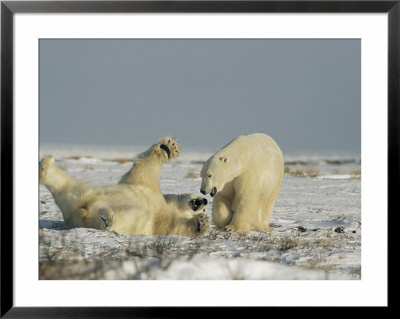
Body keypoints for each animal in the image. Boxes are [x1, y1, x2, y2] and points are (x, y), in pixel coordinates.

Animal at [39, 138, 209, 238]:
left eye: (205, 210)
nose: (205, 201)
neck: (165, 204)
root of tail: (76, 215)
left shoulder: (159, 220)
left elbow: (173, 227)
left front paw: (203, 224)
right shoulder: (147, 186)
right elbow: (146, 168)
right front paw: (169, 146)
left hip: (83, 197)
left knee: (69, 189)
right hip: (90, 194)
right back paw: (46, 164)